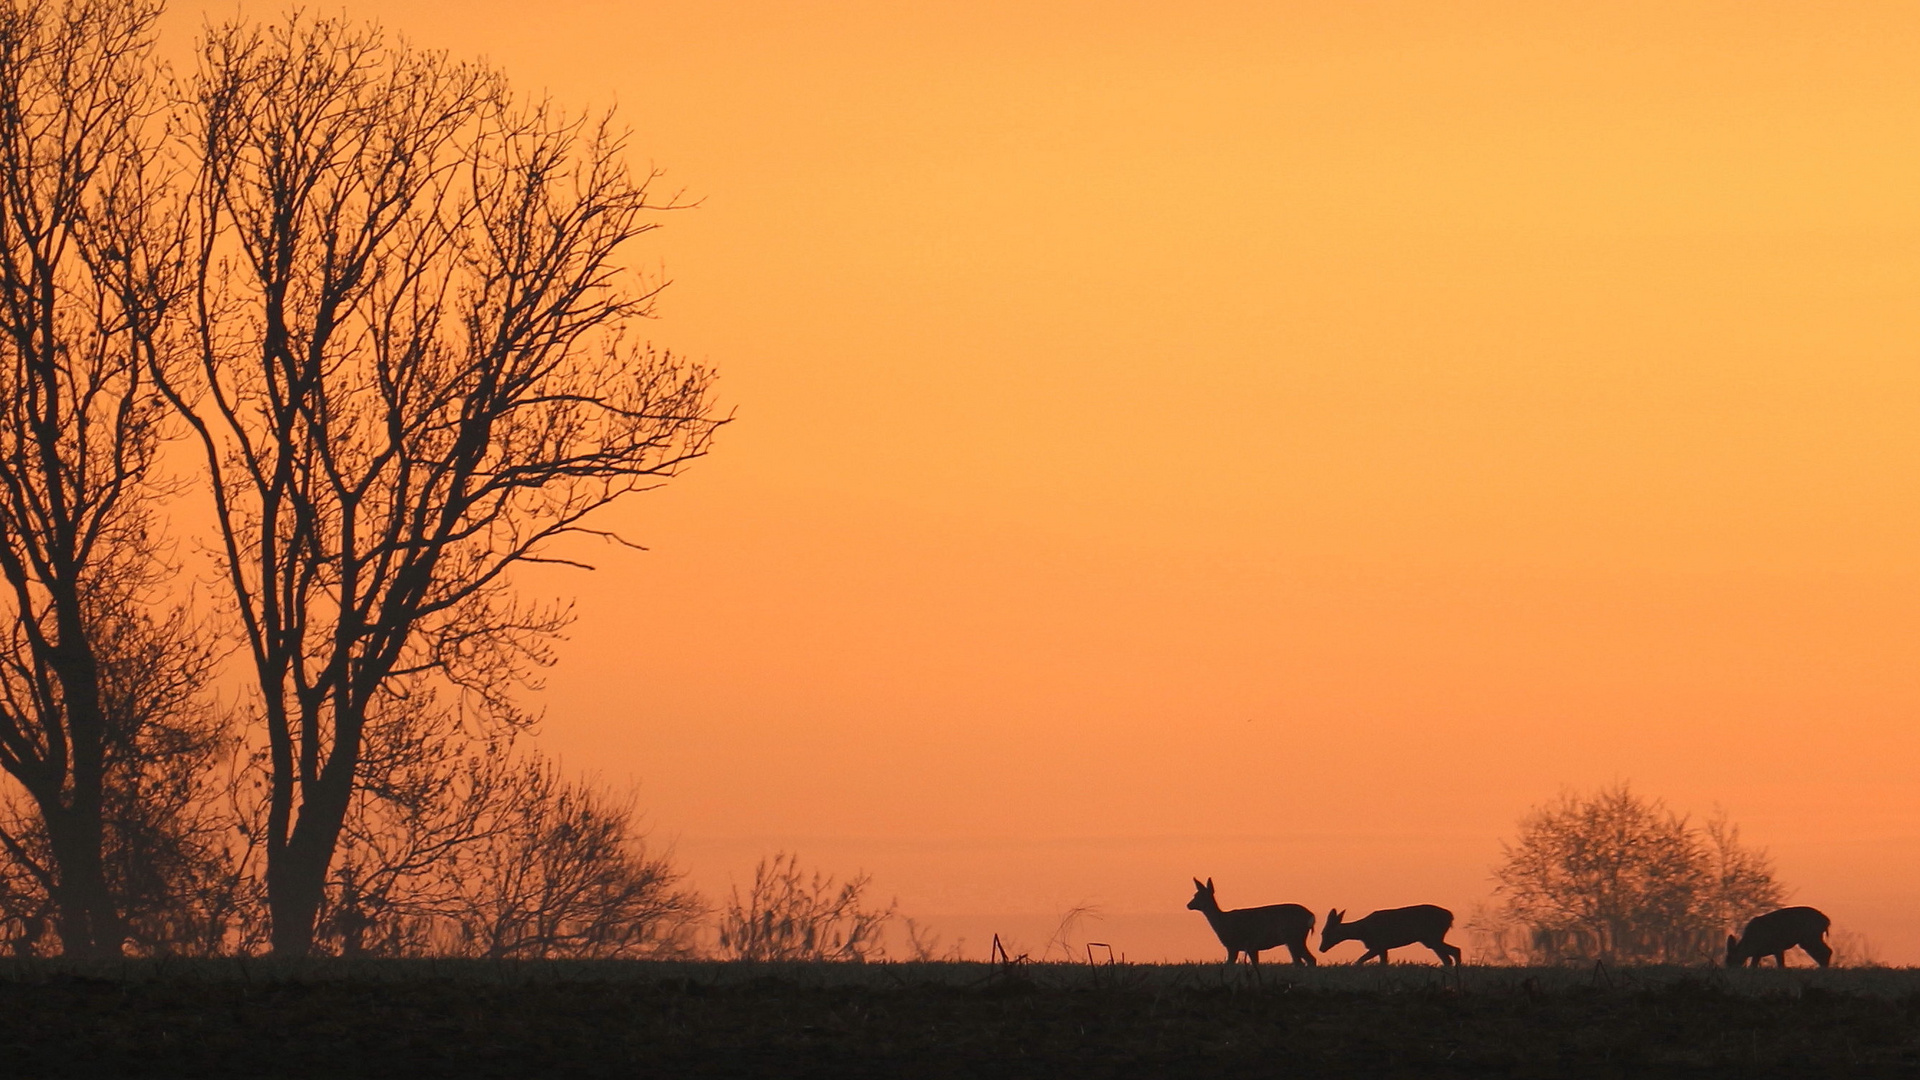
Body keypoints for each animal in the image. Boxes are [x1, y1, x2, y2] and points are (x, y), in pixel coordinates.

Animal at [1182, 876, 1320, 968]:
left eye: (1197, 896)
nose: (1188, 905)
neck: (1222, 922)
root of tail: (1311, 916)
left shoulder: (1232, 945)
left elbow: (1229, 965)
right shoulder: (1252, 947)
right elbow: (1255, 964)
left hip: (1293, 936)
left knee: (1303, 961)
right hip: (1296, 938)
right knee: (1307, 960)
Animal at [1313, 903, 1459, 960]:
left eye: (1324, 933)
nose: (1321, 949)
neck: (1362, 931)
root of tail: (1451, 916)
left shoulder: (1378, 945)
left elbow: (1360, 960)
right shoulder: (1383, 948)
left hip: (1432, 936)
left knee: (1450, 955)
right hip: (1430, 939)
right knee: (1453, 952)